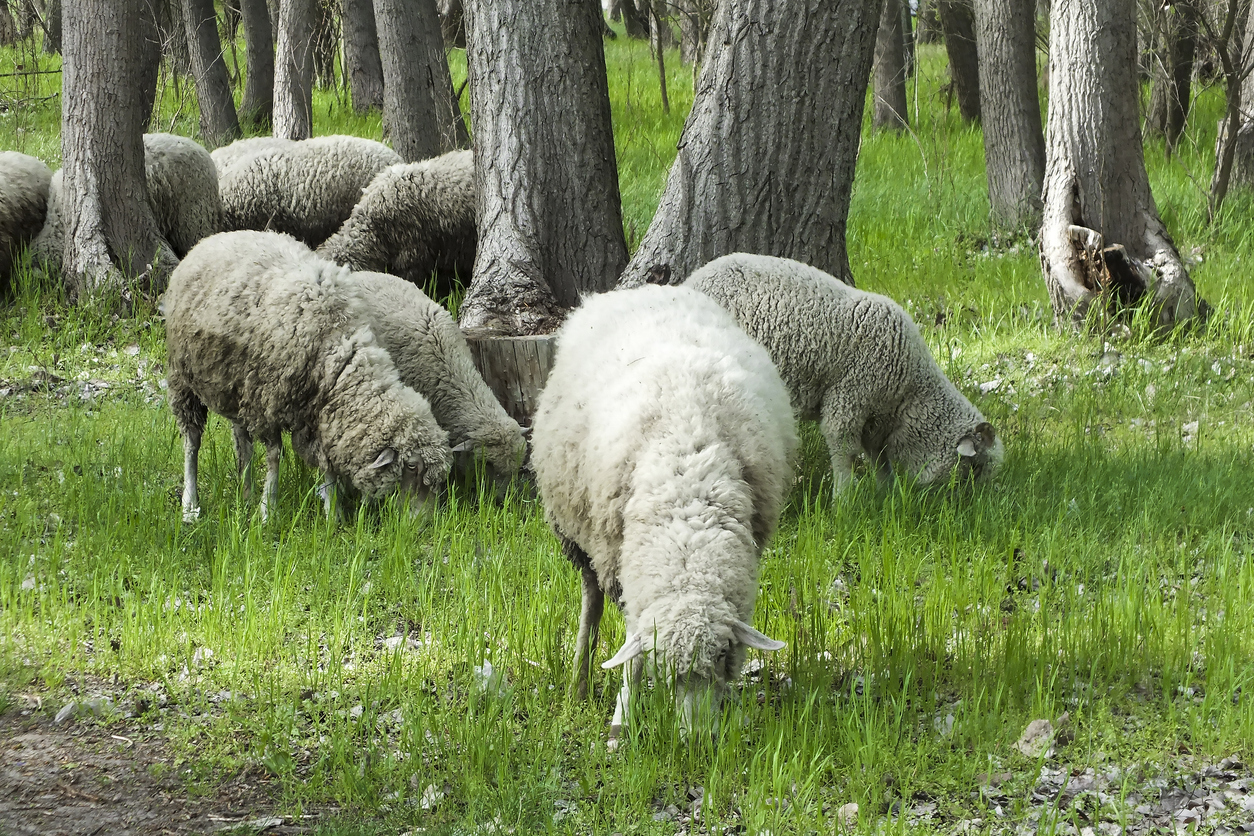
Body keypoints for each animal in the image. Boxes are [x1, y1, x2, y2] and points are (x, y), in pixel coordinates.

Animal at [163, 230, 452, 523]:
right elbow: (274, 457)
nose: (425, 522)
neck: (338, 348)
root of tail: (213, 239)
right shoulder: (268, 402)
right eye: (412, 466)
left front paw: (333, 514)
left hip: (236, 385)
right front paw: (269, 510)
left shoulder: (320, 412)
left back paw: (245, 495)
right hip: (184, 379)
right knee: (192, 441)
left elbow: (328, 466)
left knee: (242, 442)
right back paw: (190, 505)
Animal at [531, 284, 795, 745]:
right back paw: (579, 683)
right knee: (590, 603)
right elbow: (632, 656)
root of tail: (640, 288)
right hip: (582, 539)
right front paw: (622, 720)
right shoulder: (624, 566)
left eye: (723, 656)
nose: (699, 740)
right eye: (666, 667)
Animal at [684, 253, 1003, 493]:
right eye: (975, 467)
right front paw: (844, 501)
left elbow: (879, 457)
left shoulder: (876, 419)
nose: (972, 506)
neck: (911, 392)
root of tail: (692, 280)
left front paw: (885, 493)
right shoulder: (850, 396)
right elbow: (844, 450)